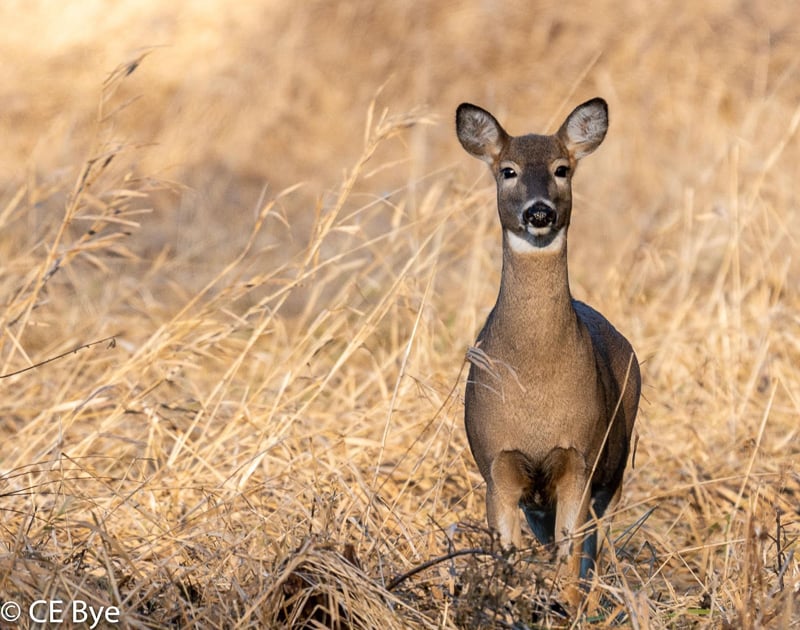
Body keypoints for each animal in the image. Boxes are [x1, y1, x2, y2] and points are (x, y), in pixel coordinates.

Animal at [456, 97, 641, 605]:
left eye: (562, 169)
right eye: (508, 170)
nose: (538, 212)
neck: (534, 378)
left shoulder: (580, 455)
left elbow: (572, 553)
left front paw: (568, 607)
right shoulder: (495, 461)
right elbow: (506, 554)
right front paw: (504, 604)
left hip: (615, 467)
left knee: (597, 543)